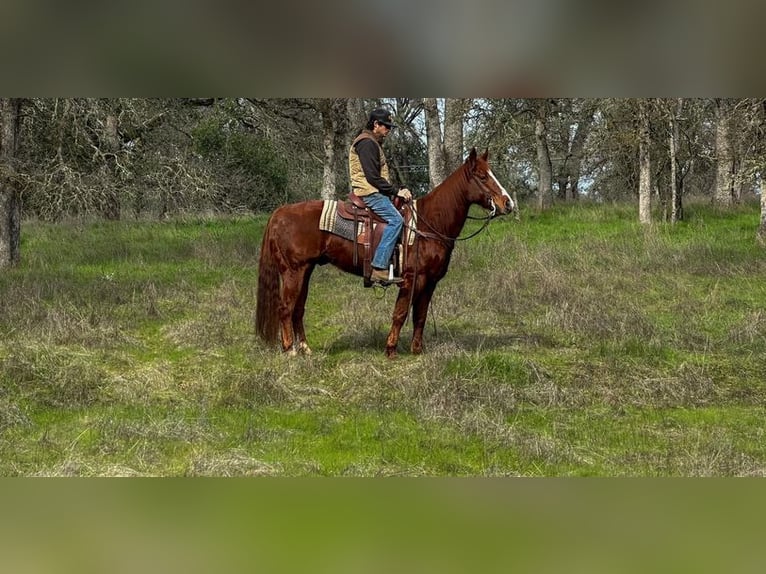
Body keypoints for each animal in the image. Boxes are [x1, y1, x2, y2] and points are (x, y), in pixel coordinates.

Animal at [256, 146, 516, 358]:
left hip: (305, 271)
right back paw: (289, 350)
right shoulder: (411, 279)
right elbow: (400, 314)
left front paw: (416, 350)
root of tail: (280, 212)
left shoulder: (430, 282)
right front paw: (391, 349)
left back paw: (304, 348)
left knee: (298, 309)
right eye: (483, 176)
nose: (508, 203)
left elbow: (420, 316)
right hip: (293, 272)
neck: (429, 223)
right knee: (285, 308)